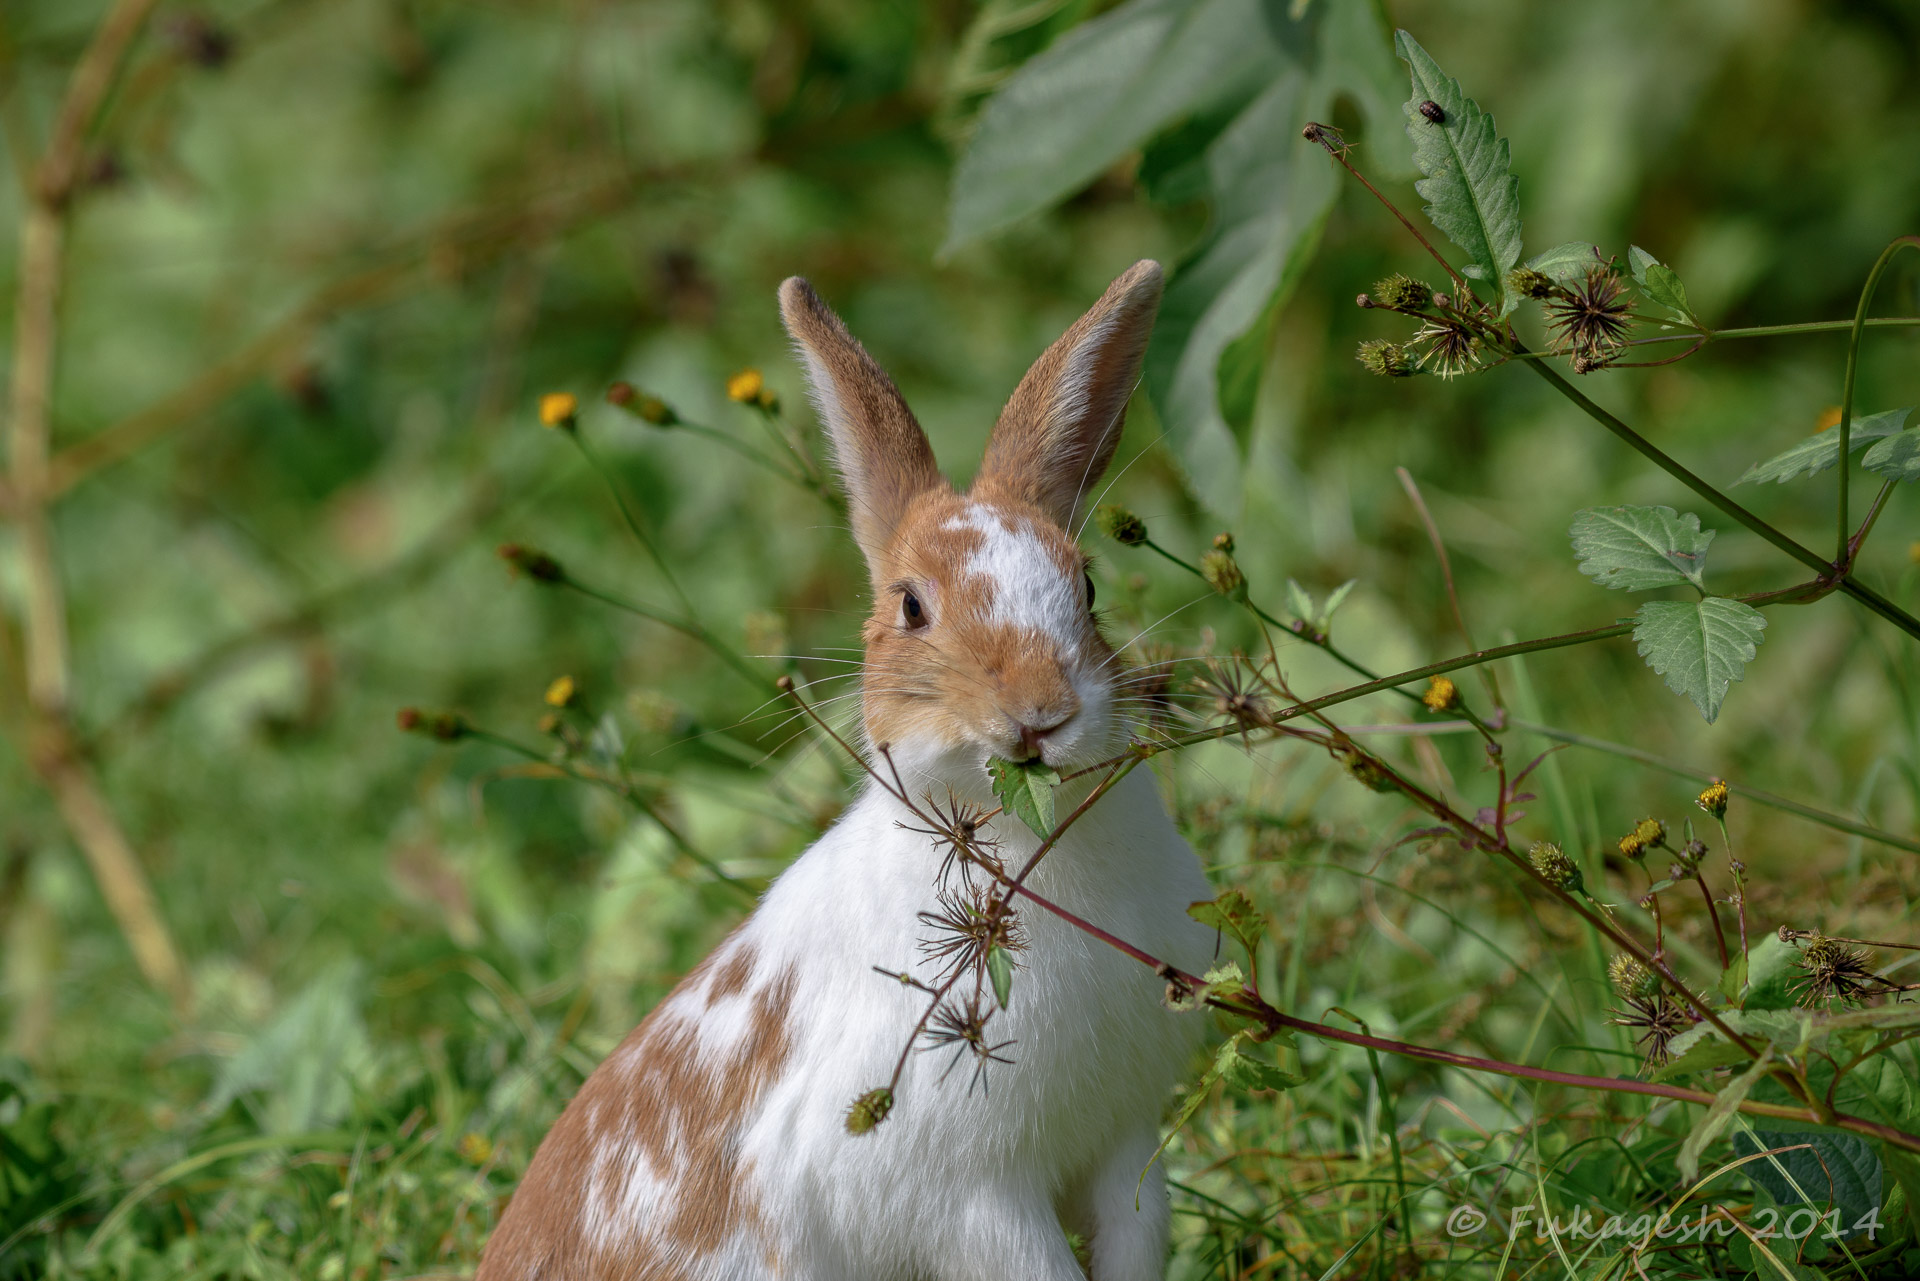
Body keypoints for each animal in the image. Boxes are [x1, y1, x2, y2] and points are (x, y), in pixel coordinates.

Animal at [480, 263, 1221, 1281]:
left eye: (1088, 586)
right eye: (911, 606)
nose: (1040, 713)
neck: (1017, 839)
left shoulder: (1123, 1144)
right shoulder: (970, 1197)